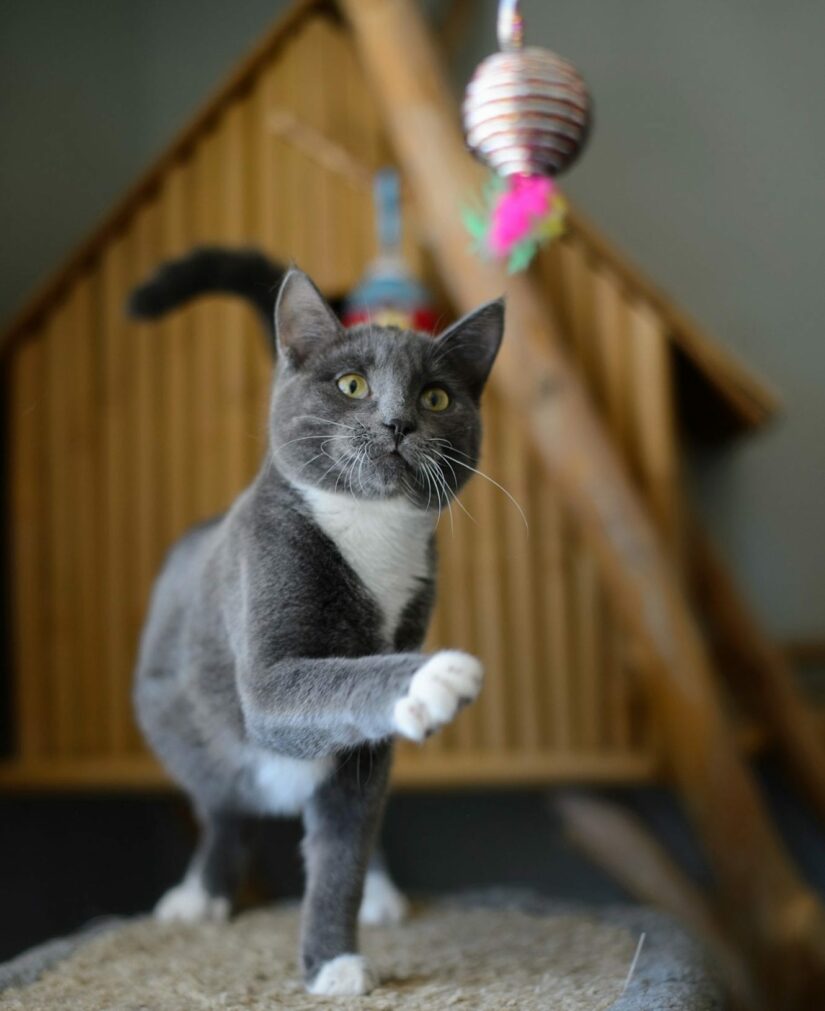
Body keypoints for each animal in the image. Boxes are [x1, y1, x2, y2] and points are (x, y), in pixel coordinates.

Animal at [127, 246, 503, 994]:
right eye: (352, 384)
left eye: (436, 397)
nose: (396, 422)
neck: (369, 529)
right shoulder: (270, 664)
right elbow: (334, 681)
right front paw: (434, 677)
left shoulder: (365, 747)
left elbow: (342, 849)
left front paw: (332, 959)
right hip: (182, 721)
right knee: (222, 805)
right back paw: (203, 892)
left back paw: (382, 890)